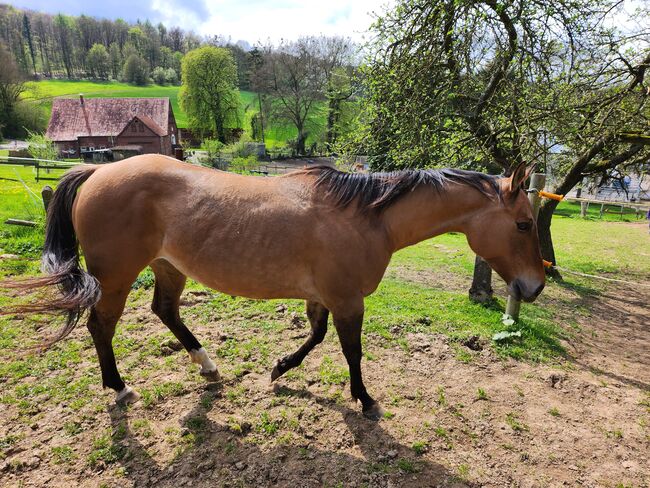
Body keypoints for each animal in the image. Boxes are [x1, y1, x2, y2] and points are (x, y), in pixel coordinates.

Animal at [6, 155, 540, 420]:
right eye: (524, 224)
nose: (533, 286)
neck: (366, 218)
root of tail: (99, 169)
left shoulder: (323, 297)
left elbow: (316, 338)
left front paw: (280, 369)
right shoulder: (347, 300)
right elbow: (351, 350)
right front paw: (365, 401)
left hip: (167, 266)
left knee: (165, 310)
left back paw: (208, 367)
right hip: (117, 275)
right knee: (102, 326)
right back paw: (118, 388)